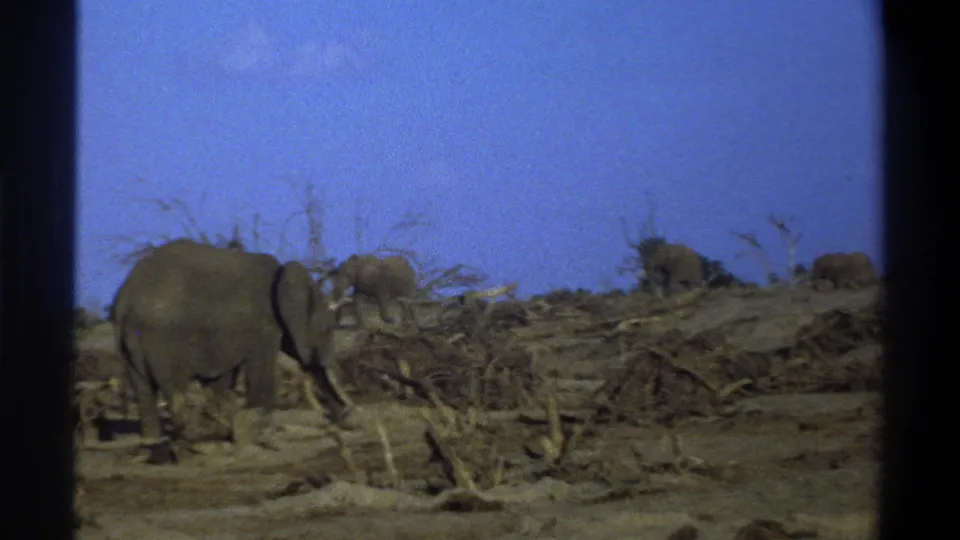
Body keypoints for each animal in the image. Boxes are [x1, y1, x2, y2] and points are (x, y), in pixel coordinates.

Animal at [112, 238, 354, 446]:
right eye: (326, 330)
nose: (344, 418)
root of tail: (126, 300)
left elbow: (222, 380)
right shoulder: (264, 325)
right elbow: (261, 371)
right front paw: (260, 428)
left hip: (128, 343)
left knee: (143, 389)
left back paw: (153, 439)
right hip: (163, 340)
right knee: (175, 389)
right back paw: (191, 437)